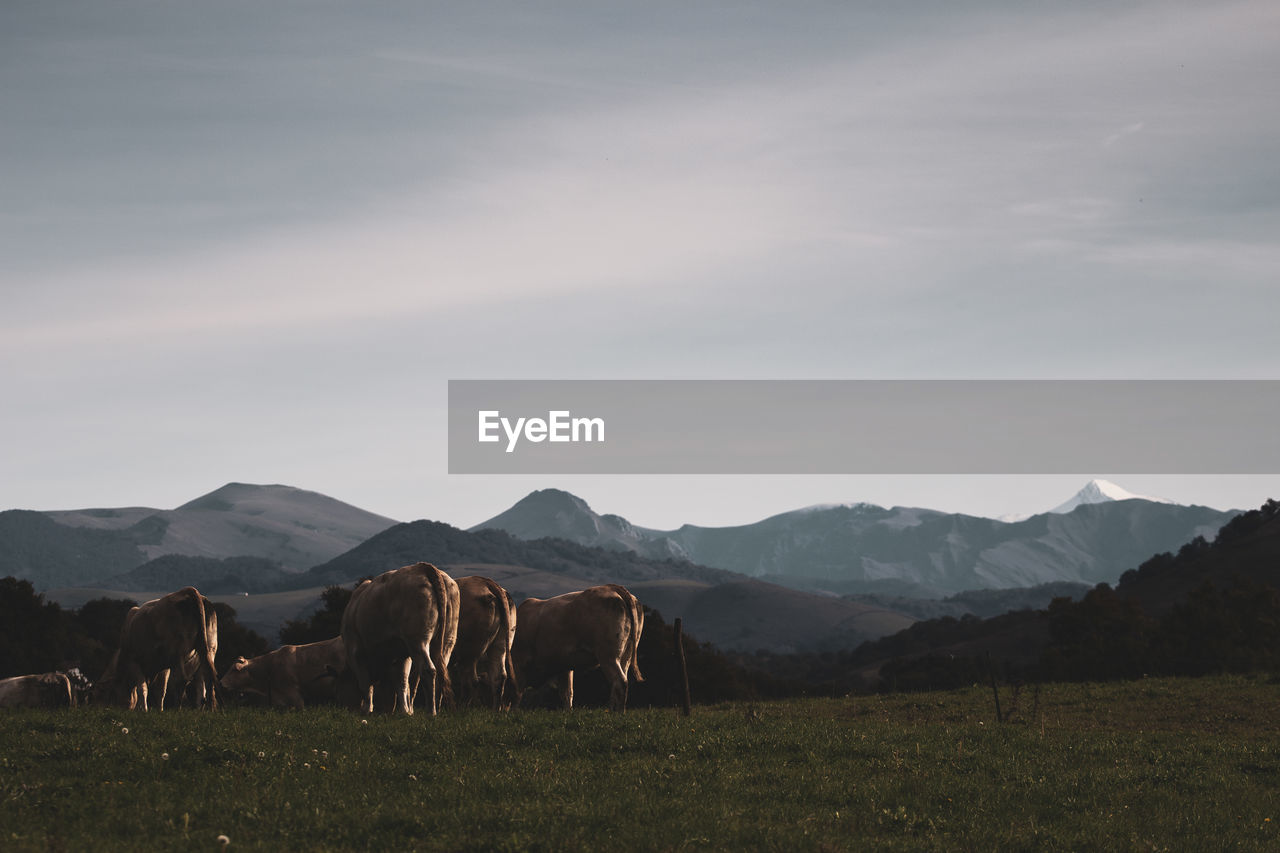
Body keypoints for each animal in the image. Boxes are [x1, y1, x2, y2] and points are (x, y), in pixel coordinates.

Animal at [96, 584, 221, 712]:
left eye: (101, 694)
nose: (101, 709)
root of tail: (188, 591)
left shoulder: (135, 661)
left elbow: (142, 688)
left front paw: (144, 709)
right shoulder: (163, 666)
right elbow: (161, 690)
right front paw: (159, 710)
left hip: (179, 653)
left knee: (181, 680)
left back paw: (178, 708)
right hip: (208, 650)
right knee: (205, 681)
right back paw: (204, 709)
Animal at [343, 558, 458, 712]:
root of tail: (422, 567)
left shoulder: (355, 652)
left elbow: (366, 685)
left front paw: (367, 709)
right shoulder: (402, 655)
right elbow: (402, 682)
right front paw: (404, 711)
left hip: (418, 639)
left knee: (429, 670)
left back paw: (431, 712)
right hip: (447, 640)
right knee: (440, 671)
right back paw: (436, 709)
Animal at [445, 573, 514, 706]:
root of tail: (485, 582)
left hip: (470, 650)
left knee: (471, 680)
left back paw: (462, 707)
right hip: (501, 642)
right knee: (499, 677)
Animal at [514, 581, 645, 706]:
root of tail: (611, 587)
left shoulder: (519, 663)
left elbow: (516, 692)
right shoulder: (564, 665)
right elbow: (567, 693)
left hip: (608, 656)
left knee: (620, 682)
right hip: (625, 655)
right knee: (619, 682)